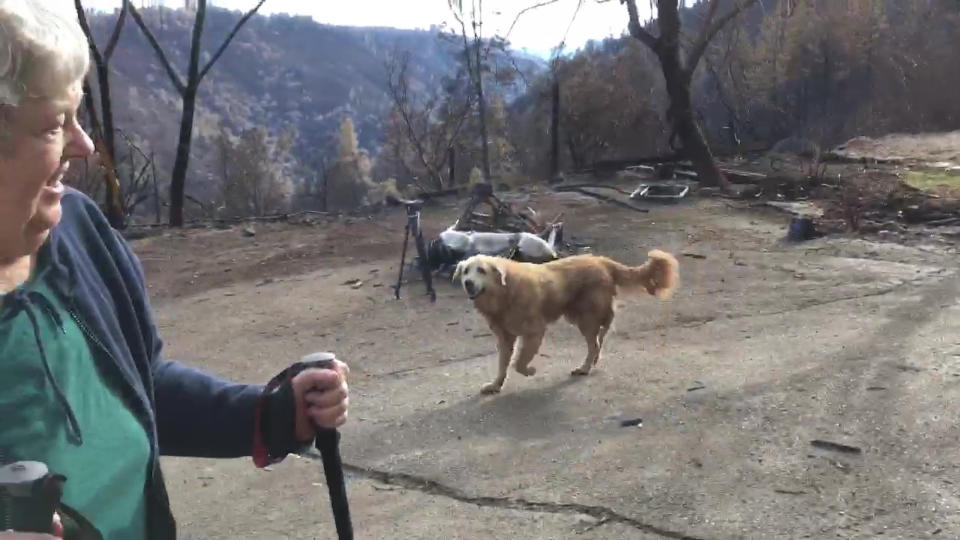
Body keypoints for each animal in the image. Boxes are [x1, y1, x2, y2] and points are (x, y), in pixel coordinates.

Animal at [454, 249, 680, 392]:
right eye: (466, 271)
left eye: (481, 270)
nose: (468, 283)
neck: (506, 292)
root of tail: (600, 260)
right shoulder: (505, 338)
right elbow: (503, 365)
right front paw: (496, 385)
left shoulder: (534, 331)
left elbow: (519, 362)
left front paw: (529, 370)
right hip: (581, 316)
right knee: (601, 336)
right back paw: (593, 360)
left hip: (586, 317)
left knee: (596, 339)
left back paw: (585, 367)